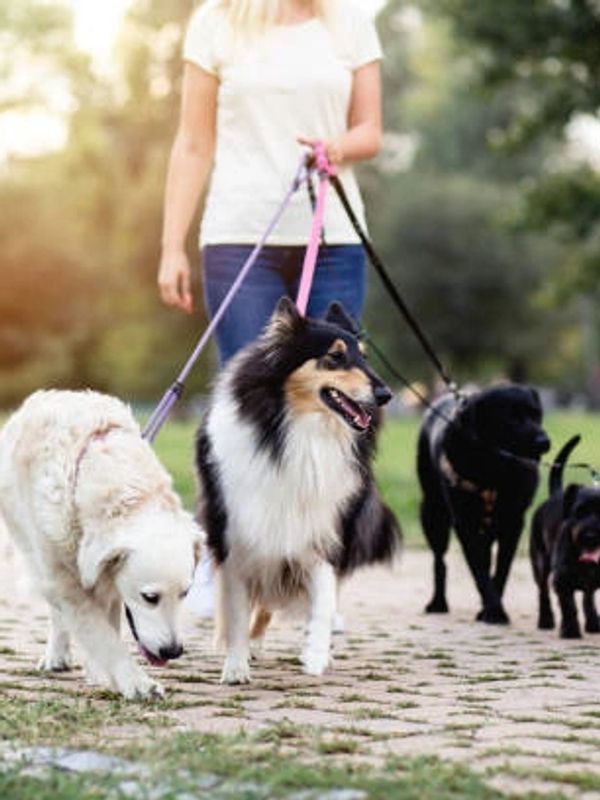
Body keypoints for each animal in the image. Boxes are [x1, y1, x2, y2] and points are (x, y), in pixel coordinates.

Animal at [0, 390, 203, 696]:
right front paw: (136, 683)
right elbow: (102, 636)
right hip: (32, 552)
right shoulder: (64, 580)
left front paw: (104, 674)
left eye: (185, 594)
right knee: (57, 611)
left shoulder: (105, 579)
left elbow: (107, 628)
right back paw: (56, 655)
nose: (172, 651)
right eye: (150, 598)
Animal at [196, 296, 398, 684]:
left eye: (365, 356)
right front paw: (236, 665)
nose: (386, 395)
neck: (301, 432)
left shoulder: (320, 532)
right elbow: (238, 607)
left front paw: (317, 655)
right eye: (335, 356)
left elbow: (323, 599)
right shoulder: (238, 535)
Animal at [418, 386, 548, 624]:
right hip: (433, 513)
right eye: (511, 417)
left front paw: (490, 609)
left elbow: (501, 569)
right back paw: (438, 602)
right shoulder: (465, 524)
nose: (544, 441)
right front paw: (494, 610)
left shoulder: (513, 523)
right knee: (440, 561)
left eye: (536, 414)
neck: (493, 467)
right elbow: (478, 570)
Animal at [528, 434, 600, 640]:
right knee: (543, 592)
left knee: (588, 597)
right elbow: (569, 607)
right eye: (579, 512)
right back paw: (545, 620)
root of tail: (557, 494)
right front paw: (570, 630)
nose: (590, 536)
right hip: (540, 563)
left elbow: (587, 599)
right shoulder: (562, 581)